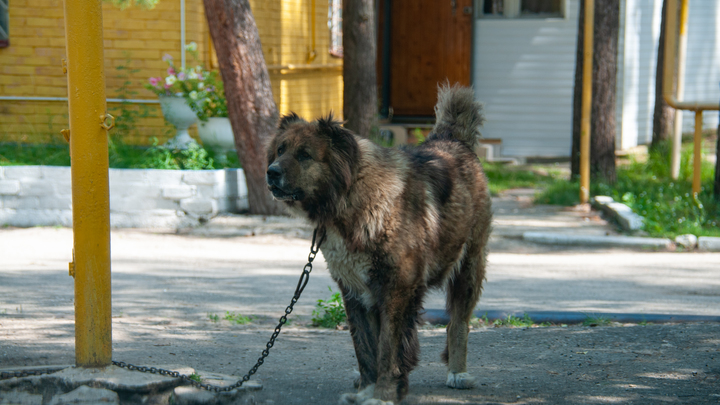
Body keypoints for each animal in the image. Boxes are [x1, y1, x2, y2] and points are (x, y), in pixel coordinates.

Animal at [268, 83, 492, 402]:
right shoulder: (355, 291)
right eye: (280, 150)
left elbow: (388, 348)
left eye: (304, 155)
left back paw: (458, 373)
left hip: (469, 267)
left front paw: (383, 393)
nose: (271, 172)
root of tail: (452, 139)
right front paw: (367, 388)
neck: (349, 197)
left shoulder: (397, 289)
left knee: (458, 323)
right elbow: (365, 347)